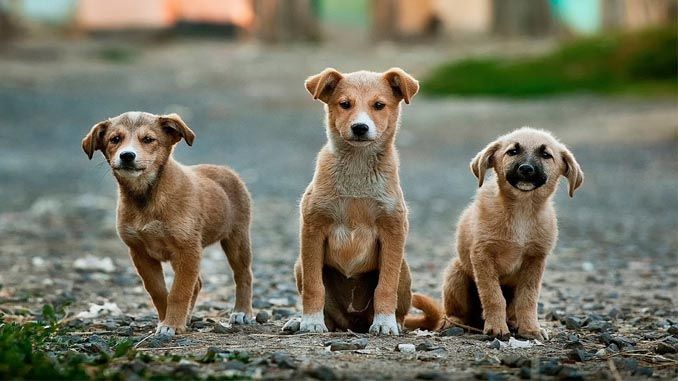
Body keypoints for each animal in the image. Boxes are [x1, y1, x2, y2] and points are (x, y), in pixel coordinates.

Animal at [82, 111, 255, 334]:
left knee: (243, 275)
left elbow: (179, 291)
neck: (146, 197)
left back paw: (242, 312)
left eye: (148, 139)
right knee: (197, 283)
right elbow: (158, 291)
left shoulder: (187, 249)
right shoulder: (140, 253)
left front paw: (171, 324)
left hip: (237, 238)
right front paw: (167, 320)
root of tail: (226, 170)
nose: (127, 155)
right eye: (115, 139)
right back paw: (188, 317)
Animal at [286, 68, 422, 336]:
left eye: (379, 105)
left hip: (404, 269)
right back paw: (302, 321)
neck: (357, 168)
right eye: (345, 104)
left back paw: (393, 323)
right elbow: (314, 286)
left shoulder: (393, 230)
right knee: (329, 313)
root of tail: (353, 323)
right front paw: (310, 321)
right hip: (299, 265)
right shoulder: (312, 229)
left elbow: (385, 286)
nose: (360, 127)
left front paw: (384, 323)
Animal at [404, 127, 584, 338]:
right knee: (453, 313)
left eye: (546, 155)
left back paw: (513, 323)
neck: (522, 211)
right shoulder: (483, 256)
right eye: (512, 151)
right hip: (455, 273)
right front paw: (496, 327)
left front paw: (530, 329)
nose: (526, 169)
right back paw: (455, 323)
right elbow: (493, 296)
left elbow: (528, 299)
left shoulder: (535, 260)